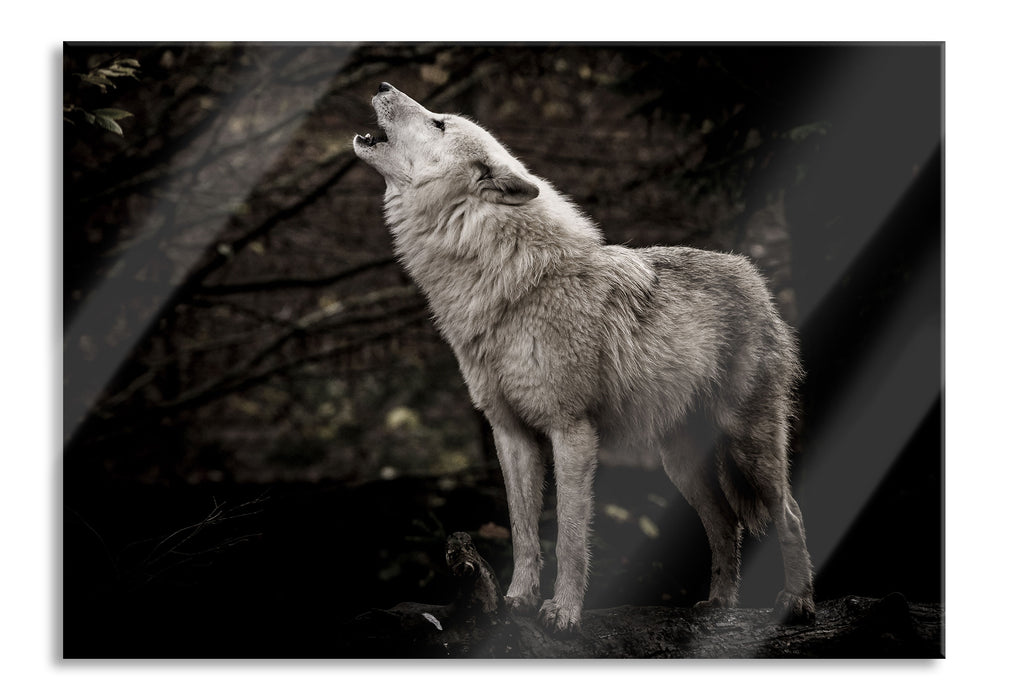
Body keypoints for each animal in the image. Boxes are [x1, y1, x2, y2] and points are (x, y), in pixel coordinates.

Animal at [353, 82, 814, 634]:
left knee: (790, 514)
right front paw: (516, 601)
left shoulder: (570, 431)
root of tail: (753, 275)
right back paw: (719, 604)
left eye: (439, 122)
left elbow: (571, 536)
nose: (383, 85)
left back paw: (798, 603)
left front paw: (564, 613)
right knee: (726, 523)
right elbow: (523, 531)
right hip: (679, 462)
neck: (508, 285)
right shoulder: (510, 433)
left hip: (748, 445)